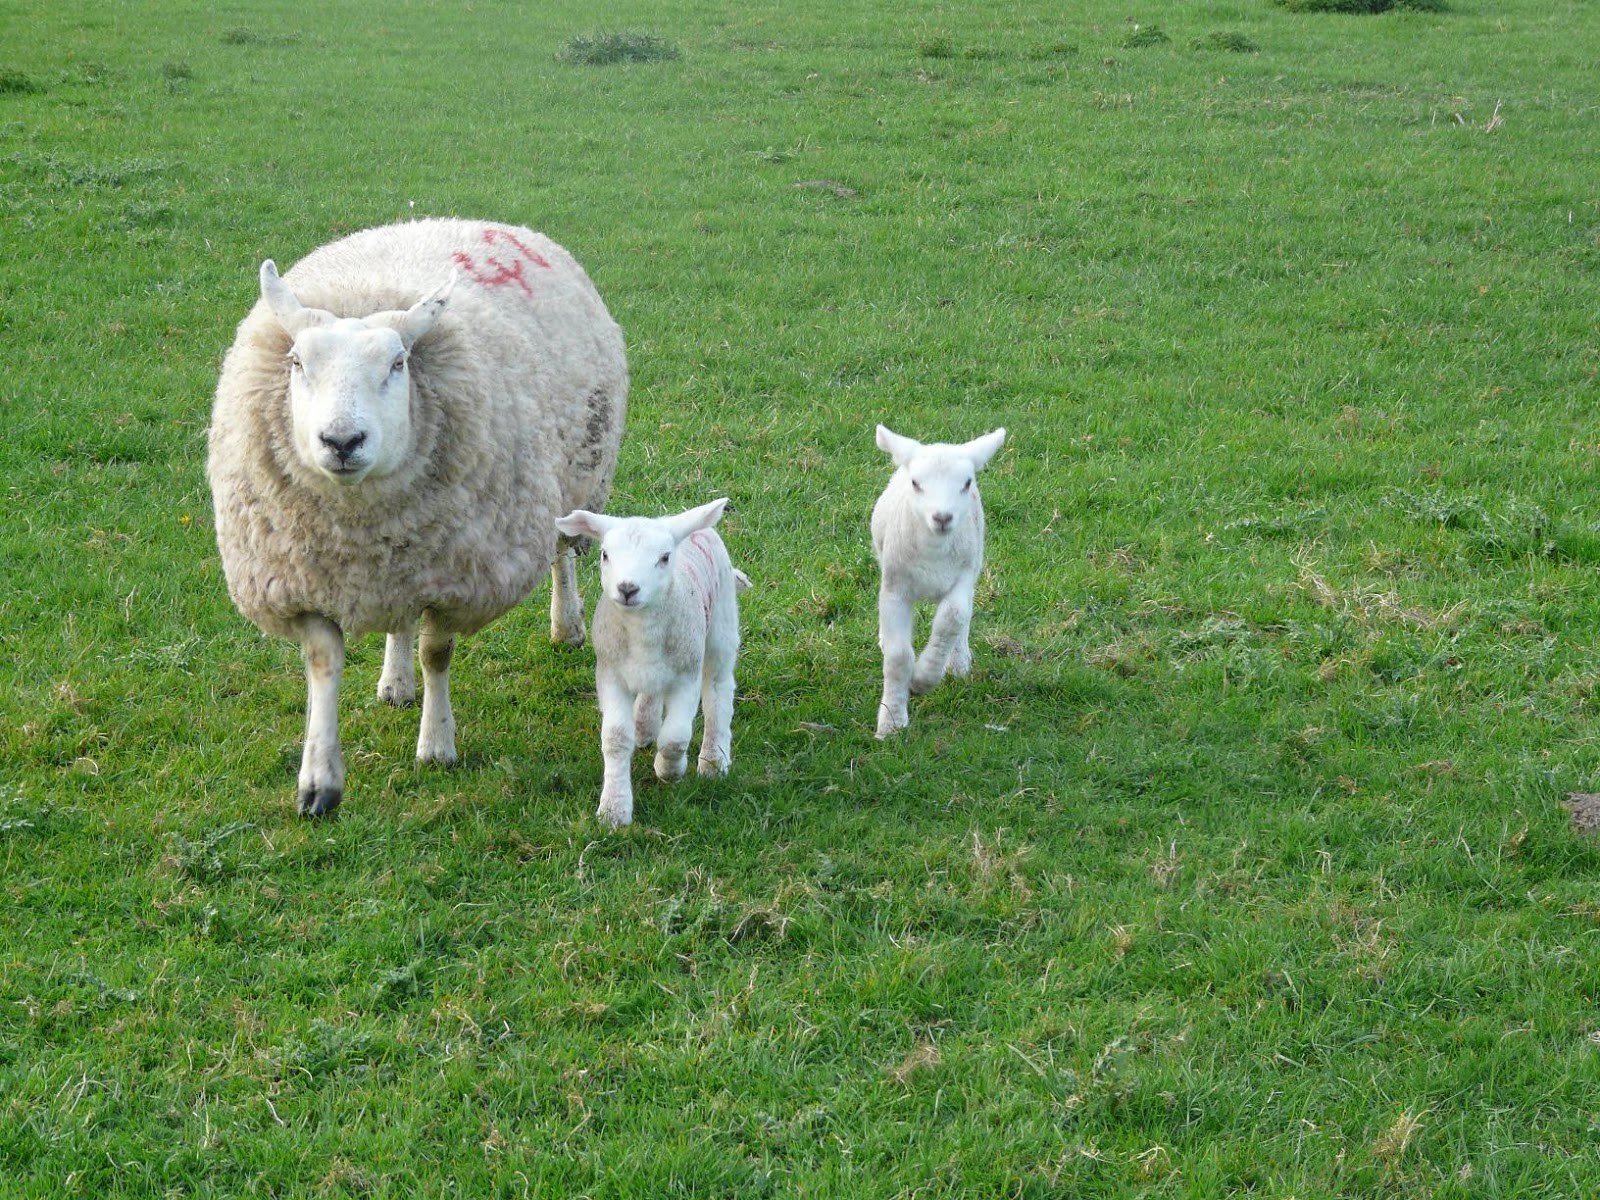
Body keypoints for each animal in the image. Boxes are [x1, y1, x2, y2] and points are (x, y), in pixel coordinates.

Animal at [206, 218, 628, 816]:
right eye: (296, 363)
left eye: (398, 363)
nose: (342, 441)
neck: (357, 524)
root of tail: (473, 222)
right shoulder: (304, 580)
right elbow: (324, 663)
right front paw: (318, 783)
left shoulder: (456, 578)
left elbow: (437, 653)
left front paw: (436, 746)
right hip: (406, 554)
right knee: (400, 617)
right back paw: (395, 681)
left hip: (573, 476)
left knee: (561, 553)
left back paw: (565, 624)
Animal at [554, 498, 748, 828]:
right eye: (605, 554)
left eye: (664, 558)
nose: (627, 588)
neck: (641, 629)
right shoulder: (610, 675)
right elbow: (616, 738)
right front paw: (614, 808)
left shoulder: (686, 675)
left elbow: (675, 737)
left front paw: (669, 770)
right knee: (651, 694)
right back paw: (644, 728)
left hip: (720, 625)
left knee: (718, 691)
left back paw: (714, 759)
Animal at [870, 424, 1008, 739]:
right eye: (916, 483)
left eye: (967, 483)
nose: (942, 517)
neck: (933, 553)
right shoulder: (895, 588)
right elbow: (898, 656)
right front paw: (892, 722)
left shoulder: (962, 578)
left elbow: (951, 620)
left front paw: (923, 678)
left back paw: (957, 662)